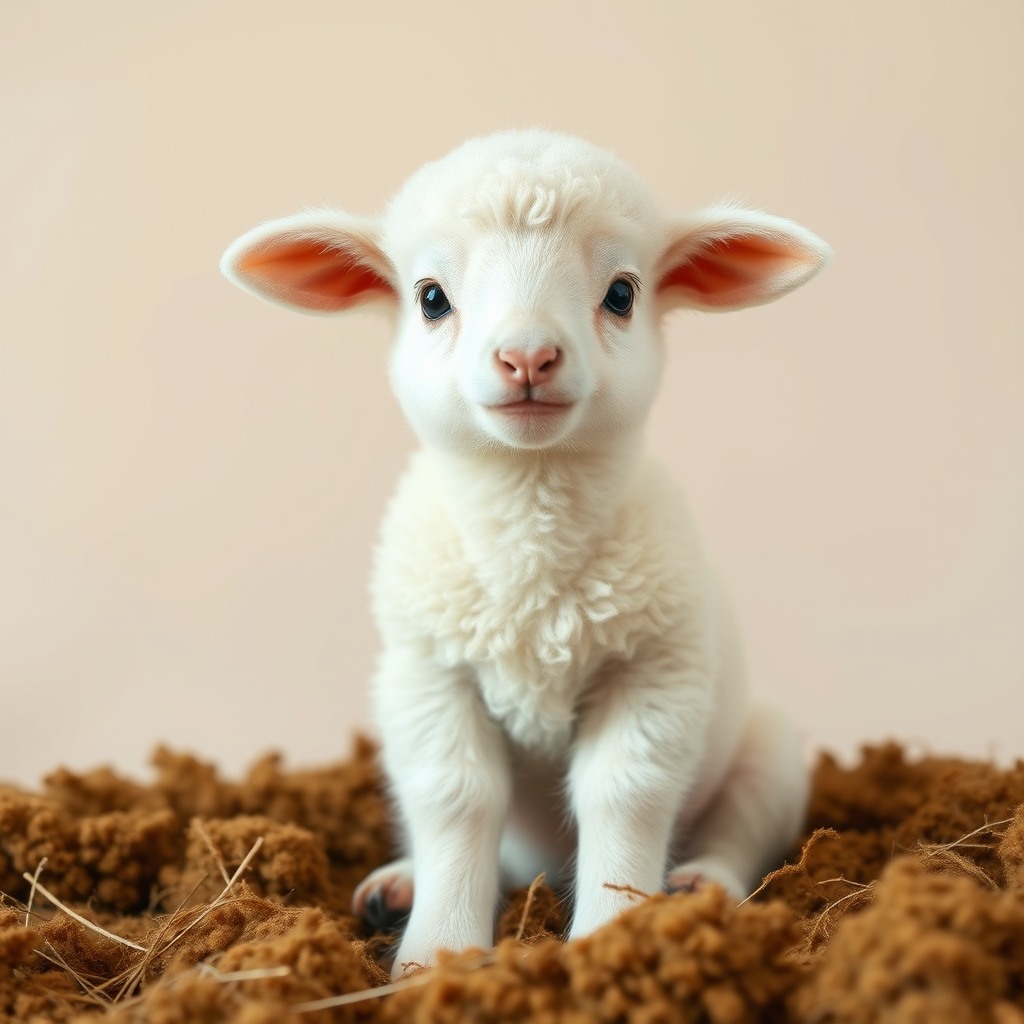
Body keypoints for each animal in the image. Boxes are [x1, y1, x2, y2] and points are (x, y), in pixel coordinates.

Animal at [221, 129, 830, 979]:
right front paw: (435, 956)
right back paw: (399, 885)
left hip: (769, 750)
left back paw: (701, 885)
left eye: (622, 293)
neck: (531, 545)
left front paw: (614, 934)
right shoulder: (427, 678)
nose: (528, 357)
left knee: (743, 828)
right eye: (430, 297)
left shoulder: (655, 672)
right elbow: (456, 798)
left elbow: (624, 793)